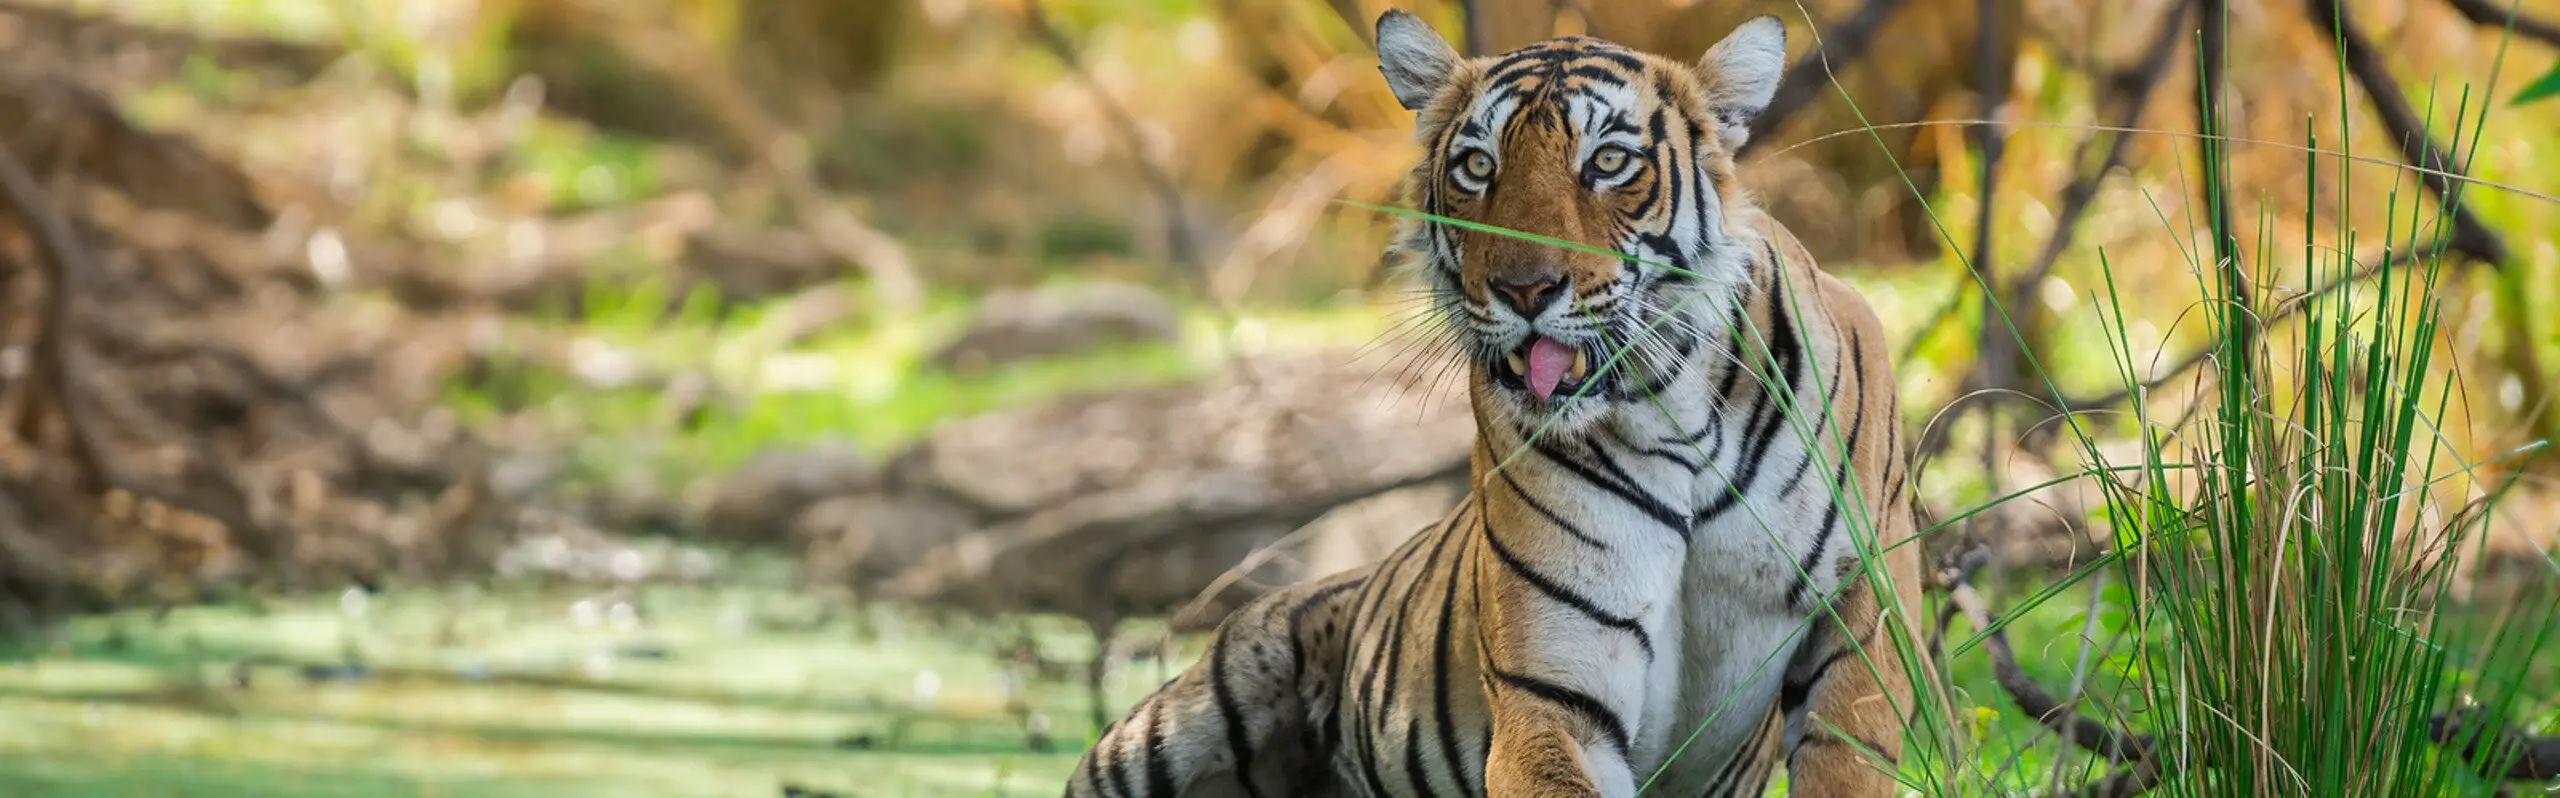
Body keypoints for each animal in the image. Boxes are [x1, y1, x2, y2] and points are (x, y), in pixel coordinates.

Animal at [1061, 10, 1940, 797]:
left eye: (1609, 161)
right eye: (1478, 167)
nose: (1524, 289)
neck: (1675, 410)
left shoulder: (1862, 635)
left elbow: (1846, 759)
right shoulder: (1555, 698)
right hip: (1179, 719)